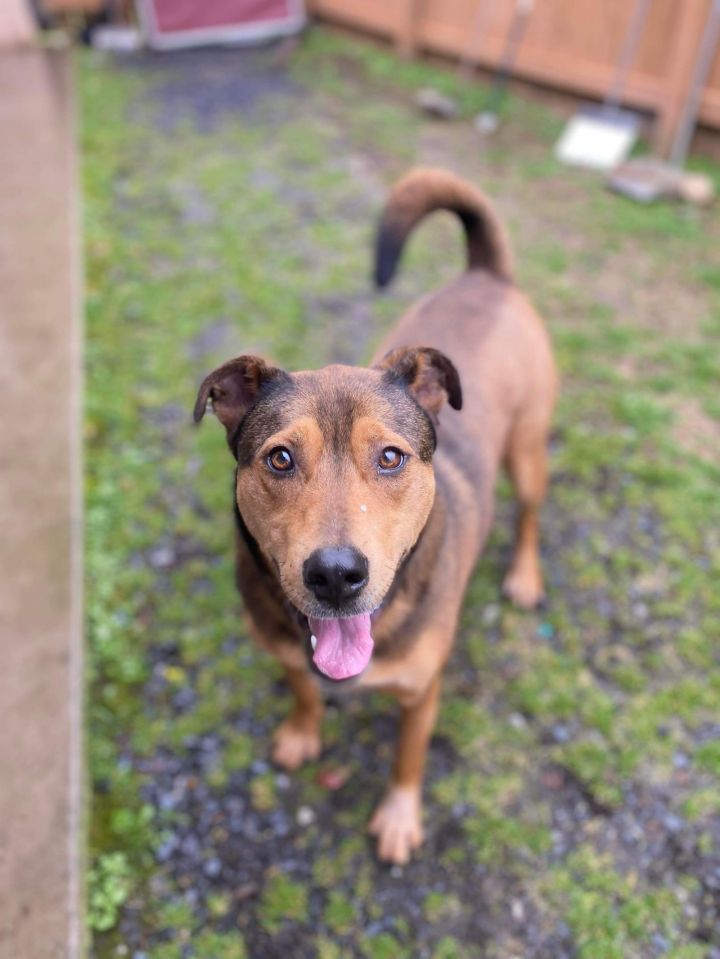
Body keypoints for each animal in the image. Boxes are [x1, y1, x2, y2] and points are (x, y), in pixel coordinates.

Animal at [193, 169, 556, 868]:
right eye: (280, 458)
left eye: (390, 457)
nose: (336, 575)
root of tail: (486, 276)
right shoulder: (283, 652)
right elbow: (302, 689)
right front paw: (302, 732)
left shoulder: (420, 692)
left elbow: (407, 759)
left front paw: (397, 819)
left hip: (528, 450)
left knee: (529, 511)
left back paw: (525, 576)